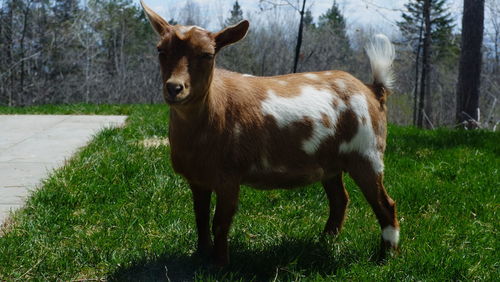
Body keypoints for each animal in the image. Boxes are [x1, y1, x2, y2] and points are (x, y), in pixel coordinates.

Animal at [140, 0, 398, 266]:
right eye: (160, 50)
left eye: (207, 55)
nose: (174, 88)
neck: (213, 110)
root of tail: (373, 90)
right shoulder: (198, 178)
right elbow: (200, 219)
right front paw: (200, 255)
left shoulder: (229, 177)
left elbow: (220, 223)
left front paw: (219, 265)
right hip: (331, 164)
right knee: (340, 199)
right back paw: (325, 241)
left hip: (366, 153)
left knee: (385, 204)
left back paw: (386, 257)